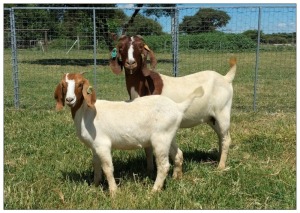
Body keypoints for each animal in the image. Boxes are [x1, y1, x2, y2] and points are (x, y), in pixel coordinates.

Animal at [54, 73, 204, 195]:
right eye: (63, 85)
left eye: (80, 84)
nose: (69, 100)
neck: (87, 113)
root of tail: (178, 107)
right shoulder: (94, 146)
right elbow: (96, 165)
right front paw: (95, 186)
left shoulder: (102, 145)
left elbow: (107, 168)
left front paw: (113, 192)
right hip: (169, 135)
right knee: (178, 154)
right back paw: (177, 178)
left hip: (160, 139)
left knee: (164, 165)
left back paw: (154, 191)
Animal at [109, 35, 238, 171]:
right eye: (121, 47)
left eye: (140, 47)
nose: (130, 63)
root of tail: (225, 78)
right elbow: (148, 149)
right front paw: (149, 170)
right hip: (211, 117)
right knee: (221, 136)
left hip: (222, 111)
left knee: (226, 138)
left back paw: (221, 166)